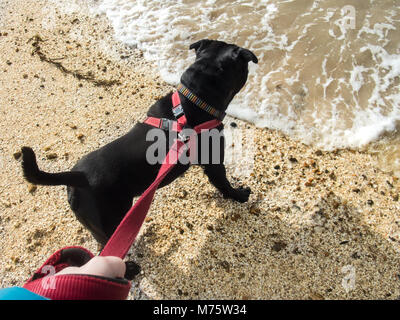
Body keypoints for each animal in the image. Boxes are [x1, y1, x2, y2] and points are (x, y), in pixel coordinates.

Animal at [21, 38, 258, 246]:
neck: (193, 100)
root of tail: (78, 177)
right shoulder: (214, 162)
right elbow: (224, 183)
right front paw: (239, 195)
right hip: (109, 219)